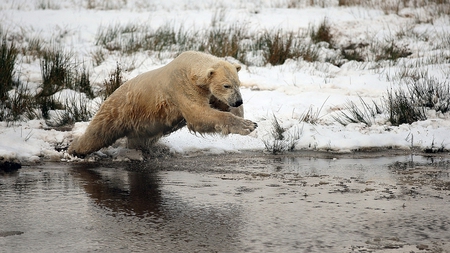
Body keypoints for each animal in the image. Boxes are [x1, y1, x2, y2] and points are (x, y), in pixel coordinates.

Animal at [67, 51, 256, 156]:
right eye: (226, 85)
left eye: (238, 83)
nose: (238, 100)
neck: (191, 67)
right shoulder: (181, 86)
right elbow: (198, 115)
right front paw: (248, 125)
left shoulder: (206, 91)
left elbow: (217, 105)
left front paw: (241, 114)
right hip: (118, 111)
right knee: (97, 134)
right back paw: (74, 149)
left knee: (138, 140)